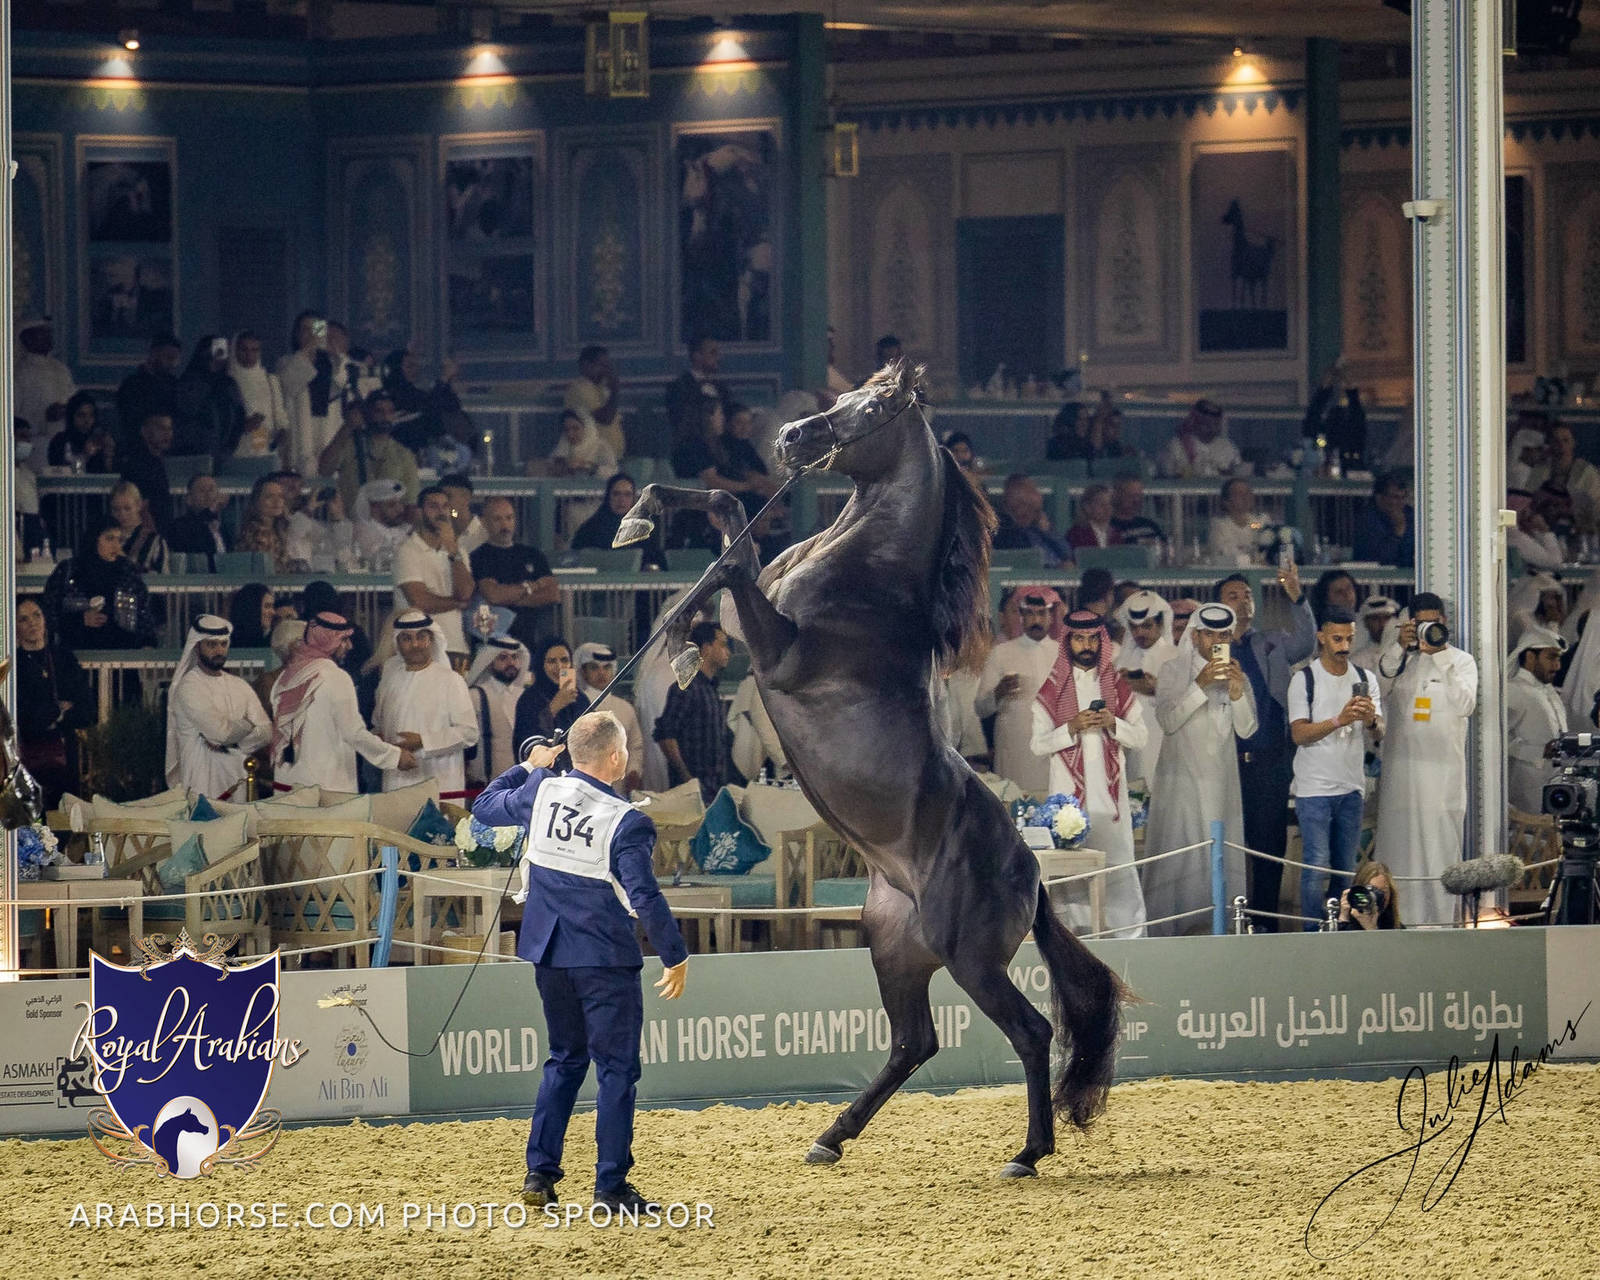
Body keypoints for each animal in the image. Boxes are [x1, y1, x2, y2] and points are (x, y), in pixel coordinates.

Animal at [614, 360, 1125, 1177]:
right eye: (848, 392)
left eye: (874, 407)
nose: (791, 437)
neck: (868, 579)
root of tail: (1034, 874)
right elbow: (727, 513)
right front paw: (640, 525)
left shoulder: (778, 651)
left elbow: (732, 566)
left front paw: (679, 618)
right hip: (894, 947)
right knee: (915, 1041)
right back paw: (830, 1136)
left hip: (970, 958)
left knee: (1031, 1032)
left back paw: (1027, 1153)